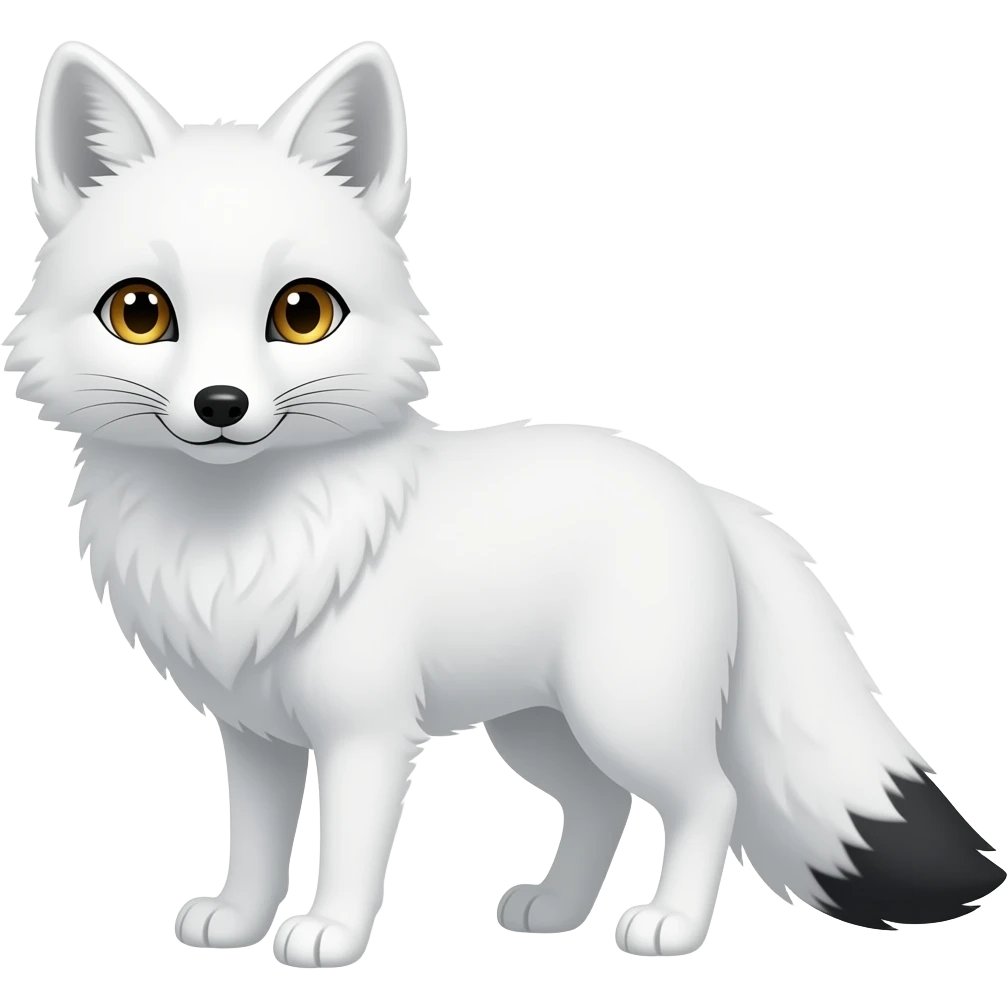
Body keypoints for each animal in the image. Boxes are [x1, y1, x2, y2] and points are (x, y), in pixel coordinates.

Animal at [5, 38, 1003, 968]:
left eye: (302, 313)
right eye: (140, 313)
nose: (222, 405)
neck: (235, 542)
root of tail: (703, 493)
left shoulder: (367, 733)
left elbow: (347, 851)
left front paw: (330, 935)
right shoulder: (254, 736)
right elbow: (253, 846)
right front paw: (239, 924)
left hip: (621, 715)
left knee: (706, 796)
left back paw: (671, 927)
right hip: (537, 729)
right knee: (605, 805)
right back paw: (557, 912)